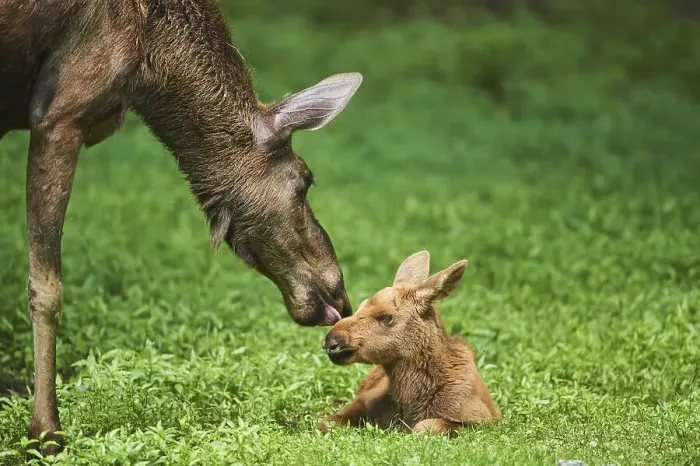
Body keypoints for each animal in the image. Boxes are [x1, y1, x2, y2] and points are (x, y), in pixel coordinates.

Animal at [0, 0, 361, 455]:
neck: (149, 60)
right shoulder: (60, 110)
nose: (342, 296)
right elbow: (47, 287)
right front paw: (46, 432)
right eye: (306, 179)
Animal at [319, 251, 501, 435]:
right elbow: (326, 422)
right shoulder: (363, 401)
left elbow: (425, 426)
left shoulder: (483, 421)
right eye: (360, 306)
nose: (331, 341)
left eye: (386, 317)